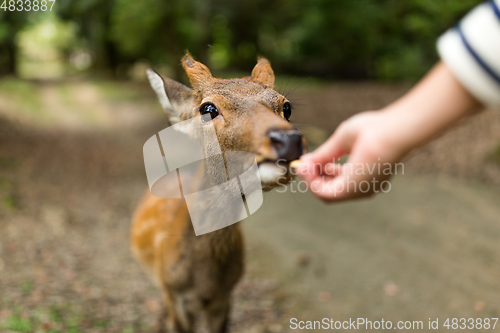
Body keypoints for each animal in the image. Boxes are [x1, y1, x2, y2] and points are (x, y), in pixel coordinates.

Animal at [131, 53, 304, 330]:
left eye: (286, 107)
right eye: (208, 109)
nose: (289, 140)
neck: (205, 282)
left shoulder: (226, 296)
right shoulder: (174, 293)